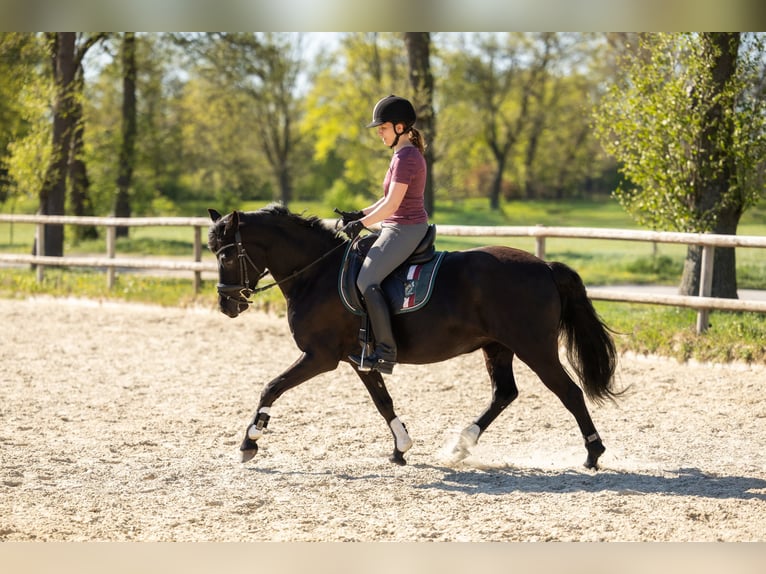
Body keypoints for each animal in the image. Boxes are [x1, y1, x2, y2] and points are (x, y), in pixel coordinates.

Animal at [207, 204, 619, 469]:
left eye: (226, 255)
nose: (227, 304)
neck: (317, 273)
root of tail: (545, 266)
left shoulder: (320, 357)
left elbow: (271, 387)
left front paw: (249, 441)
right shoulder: (359, 359)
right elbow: (382, 401)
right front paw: (401, 448)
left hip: (535, 348)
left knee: (569, 393)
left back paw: (593, 454)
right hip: (498, 347)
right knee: (504, 393)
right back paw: (460, 445)